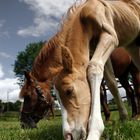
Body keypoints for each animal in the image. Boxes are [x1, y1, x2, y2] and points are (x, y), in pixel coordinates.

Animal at [18, 0, 140, 139]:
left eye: (28, 96)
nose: (23, 123)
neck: (83, 17)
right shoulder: (98, 49)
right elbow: (112, 84)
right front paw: (123, 117)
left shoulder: (110, 37)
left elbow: (94, 69)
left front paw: (95, 131)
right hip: (131, 49)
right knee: (130, 89)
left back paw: (137, 116)